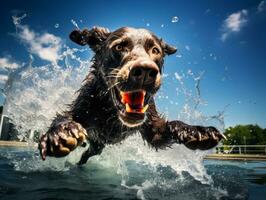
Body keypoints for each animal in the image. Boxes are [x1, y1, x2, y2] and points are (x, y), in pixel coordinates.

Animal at [38, 26, 225, 164]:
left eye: (155, 50)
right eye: (119, 47)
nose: (145, 71)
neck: (111, 110)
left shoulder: (153, 129)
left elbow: (170, 126)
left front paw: (196, 130)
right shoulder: (82, 109)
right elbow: (64, 117)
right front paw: (60, 133)